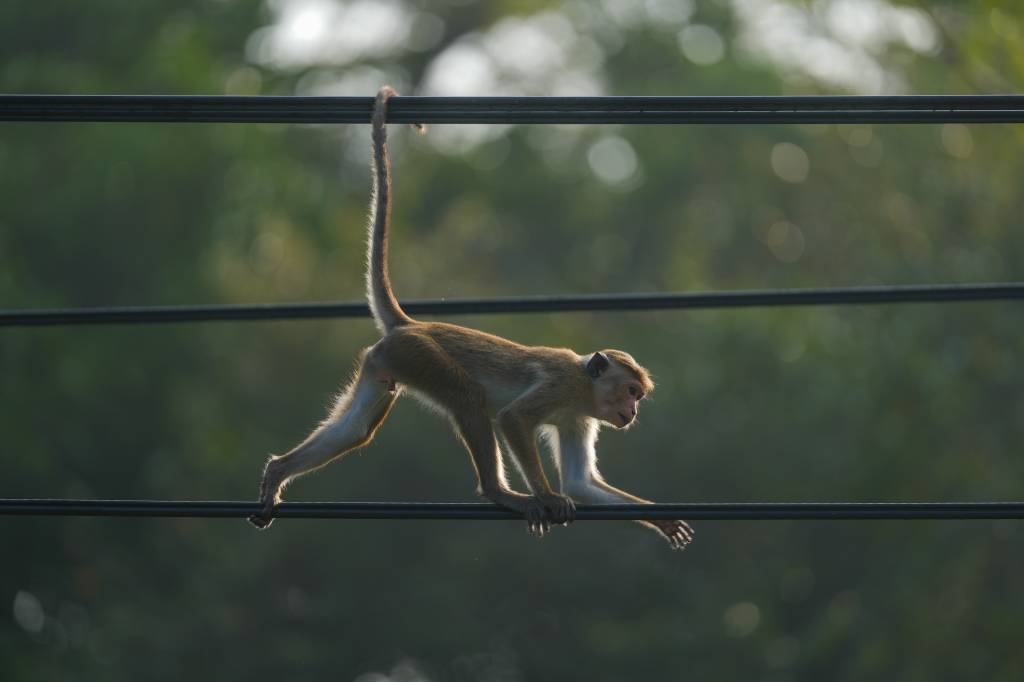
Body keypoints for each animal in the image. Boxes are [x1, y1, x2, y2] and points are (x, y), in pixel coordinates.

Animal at [248, 86, 693, 549]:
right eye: (630, 391)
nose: (633, 411)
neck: (584, 387)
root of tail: (411, 325)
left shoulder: (580, 417)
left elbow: (580, 483)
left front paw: (660, 518)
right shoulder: (561, 387)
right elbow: (513, 420)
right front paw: (548, 497)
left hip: (388, 360)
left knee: (356, 430)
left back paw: (278, 471)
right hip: (421, 355)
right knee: (468, 398)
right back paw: (500, 492)